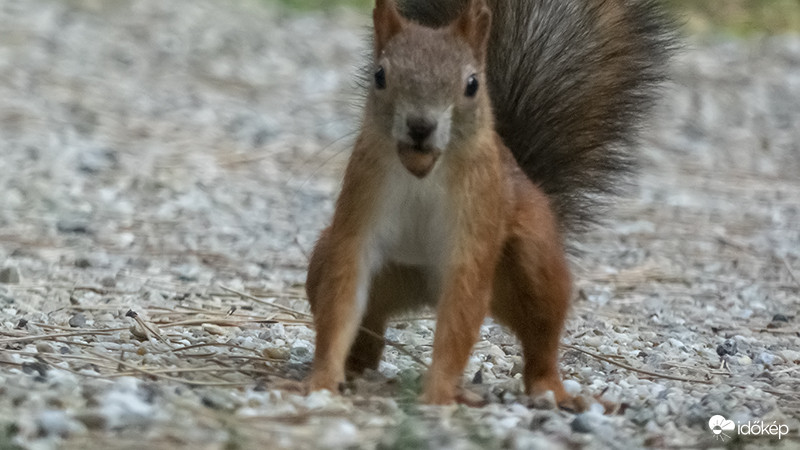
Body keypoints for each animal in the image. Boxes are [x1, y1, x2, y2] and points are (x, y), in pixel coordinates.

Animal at [306, 0, 676, 408]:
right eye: (380, 76)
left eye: (472, 84)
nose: (420, 126)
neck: (423, 171)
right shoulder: (361, 210)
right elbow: (343, 296)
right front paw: (322, 379)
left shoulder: (477, 221)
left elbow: (461, 310)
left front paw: (438, 391)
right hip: (334, 260)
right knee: (368, 327)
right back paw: (356, 369)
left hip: (534, 261)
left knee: (541, 340)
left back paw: (549, 389)